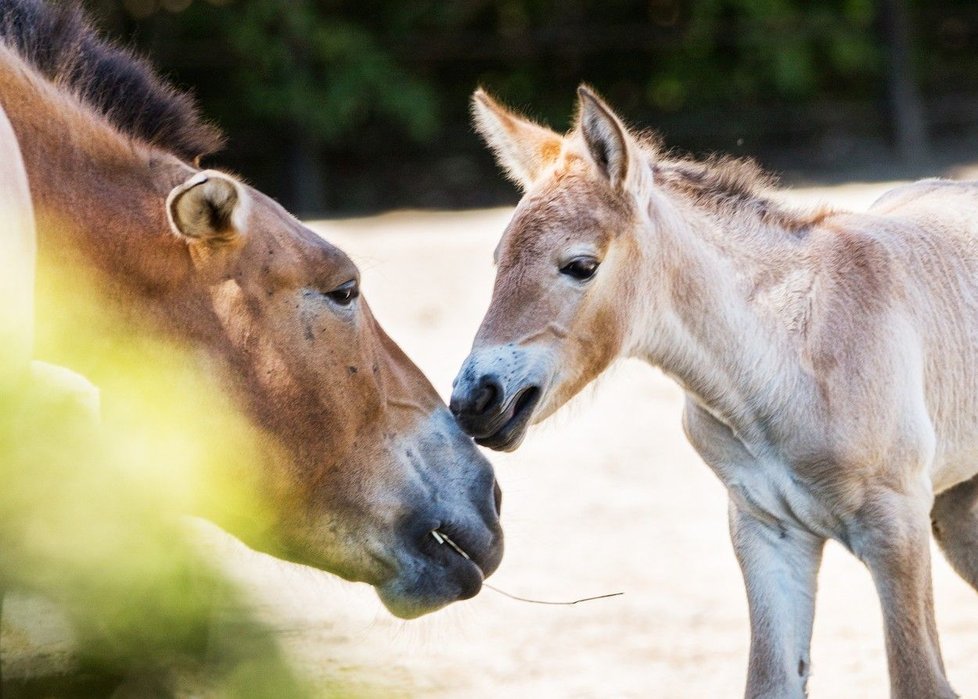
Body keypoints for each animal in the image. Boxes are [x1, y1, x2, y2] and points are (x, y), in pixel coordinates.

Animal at [452, 87, 976, 699]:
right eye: (499, 260)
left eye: (581, 265)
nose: (473, 400)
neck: (789, 360)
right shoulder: (766, 533)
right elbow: (769, 682)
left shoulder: (897, 528)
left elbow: (920, 681)